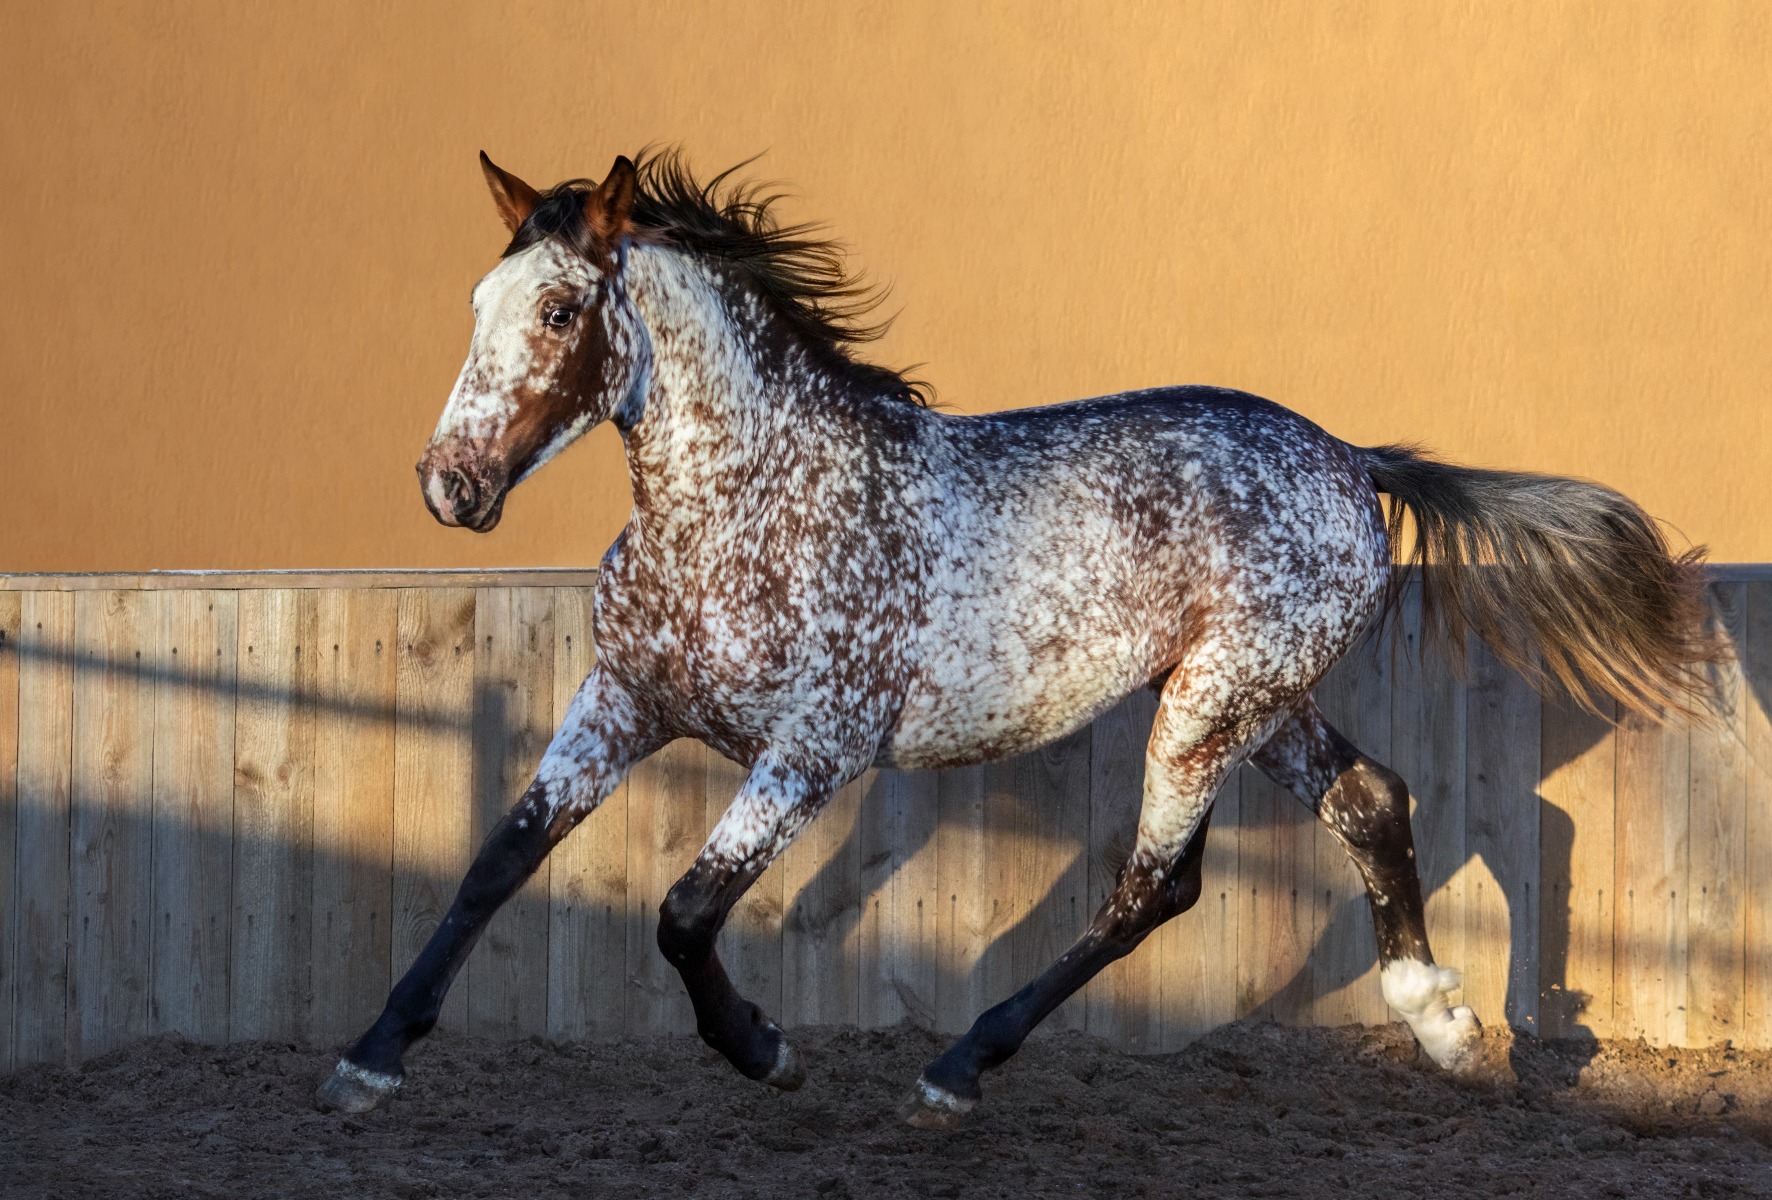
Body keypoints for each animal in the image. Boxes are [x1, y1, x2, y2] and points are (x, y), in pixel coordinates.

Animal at [315, 147, 1715, 1120]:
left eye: (559, 313)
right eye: (478, 299)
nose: (449, 488)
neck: (745, 504)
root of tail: (1347, 458)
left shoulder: (815, 749)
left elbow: (684, 911)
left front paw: (767, 1051)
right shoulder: (621, 699)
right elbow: (499, 858)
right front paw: (369, 1060)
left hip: (1208, 704)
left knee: (1156, 885)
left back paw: (956, 1069)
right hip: (1259, 701)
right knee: (1369, 801)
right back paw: (1443, 1029)